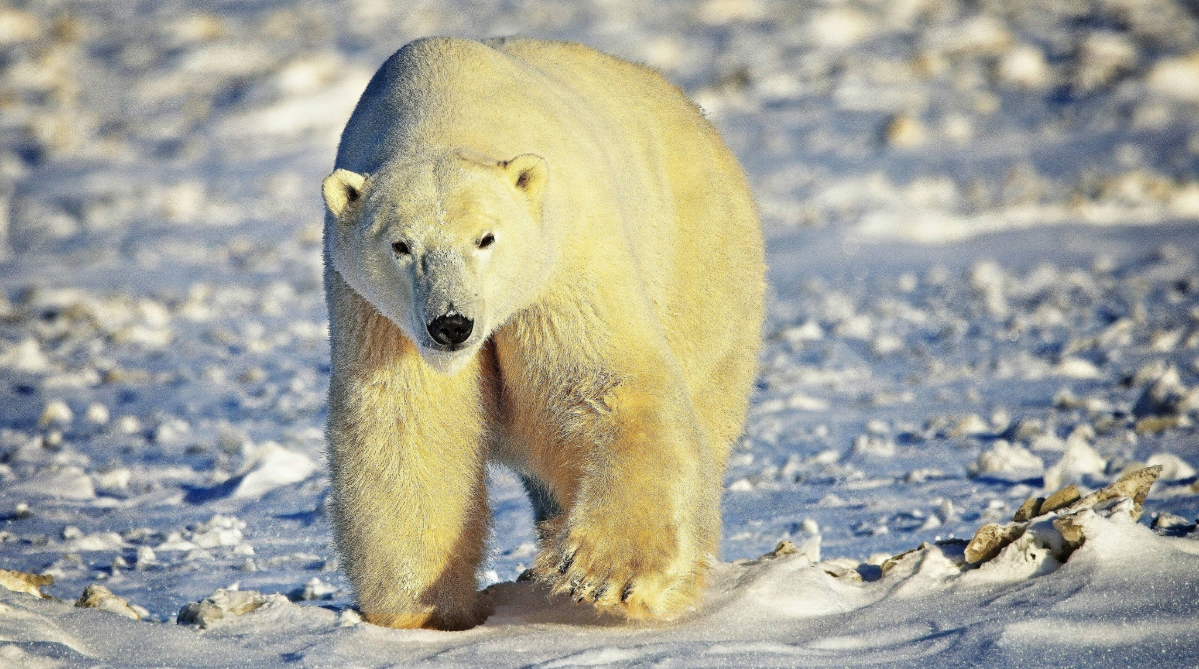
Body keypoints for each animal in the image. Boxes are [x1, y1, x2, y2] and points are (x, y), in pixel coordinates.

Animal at [322, 36, 764, 630]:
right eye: (400, 246)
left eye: (486, 238)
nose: (451, 325)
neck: (443, 108)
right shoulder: (375, 311)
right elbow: (408, 422)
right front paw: (425, 609)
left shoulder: (563, 257)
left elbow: (602, 381)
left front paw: (606, 573)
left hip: (701, 269)